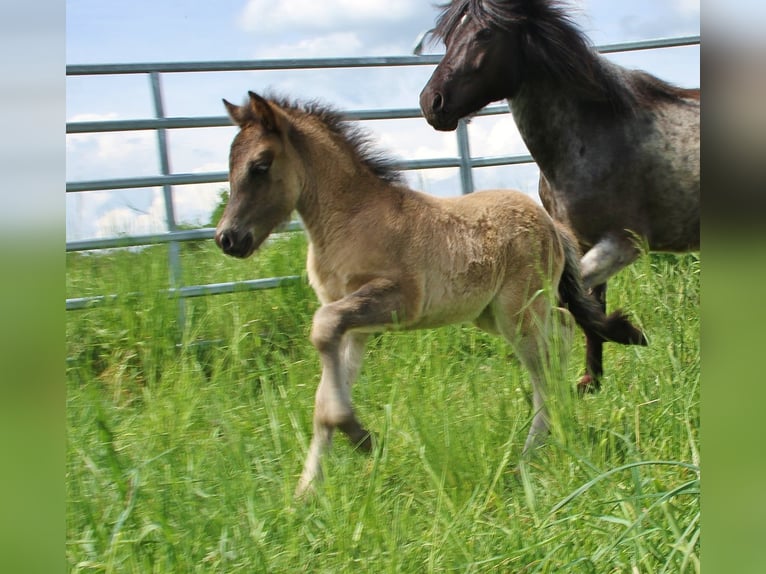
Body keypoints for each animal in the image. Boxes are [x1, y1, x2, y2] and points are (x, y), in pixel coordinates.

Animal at [215, 91, 646, 498]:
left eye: (260, 165)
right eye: (231, 165)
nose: (227, 238)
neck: (352, 219)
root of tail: (551, 224)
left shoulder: (397, 301)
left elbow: (322, 328)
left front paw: (362, 438)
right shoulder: (356, 327)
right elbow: (324, 394)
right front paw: (306, 493)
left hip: (517, 311)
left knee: (544, 359)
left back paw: (530, 452)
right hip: (495, 314)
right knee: (562, 330)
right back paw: (559, 425)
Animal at [419, 0, 700, 393]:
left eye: (485, 33)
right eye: (447, 38)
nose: (431, 102)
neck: (597, 136)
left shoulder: (623, 243)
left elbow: (572, 297)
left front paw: (629, 334)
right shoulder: (580, 241)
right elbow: (586, 302)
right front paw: (591, 381)